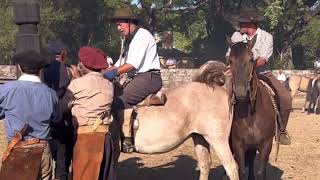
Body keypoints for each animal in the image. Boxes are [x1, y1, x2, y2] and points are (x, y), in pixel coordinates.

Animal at [228, 39, 278, 180]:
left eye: (251, 59)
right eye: (230, 60)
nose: (240, 91)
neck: (251, 113)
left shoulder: (266, 144)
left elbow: (261, 171)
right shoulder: (238, 144)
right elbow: (241, 171)